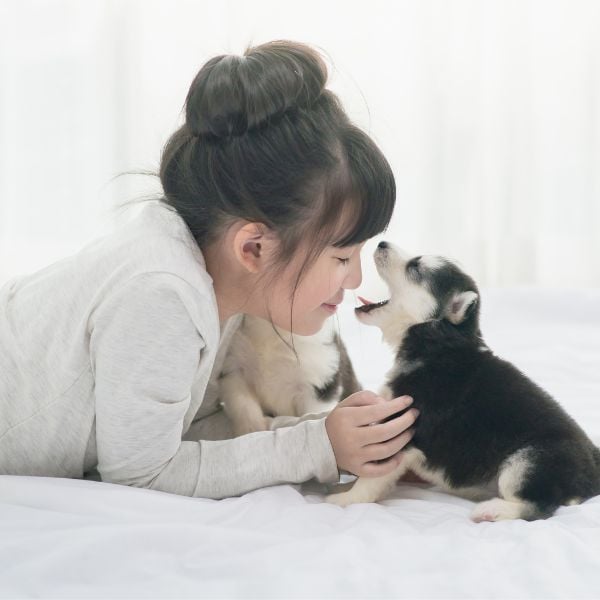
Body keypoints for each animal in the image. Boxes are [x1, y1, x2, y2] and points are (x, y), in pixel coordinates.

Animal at [326, 240, 600, 520]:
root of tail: (594, 468)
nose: (382, 242)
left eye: (415, 267)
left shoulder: (400, 429)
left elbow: (372, 477)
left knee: (539, 505)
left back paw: (492, 510)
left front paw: (345, 499)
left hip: (529, 461)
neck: (435, 339)